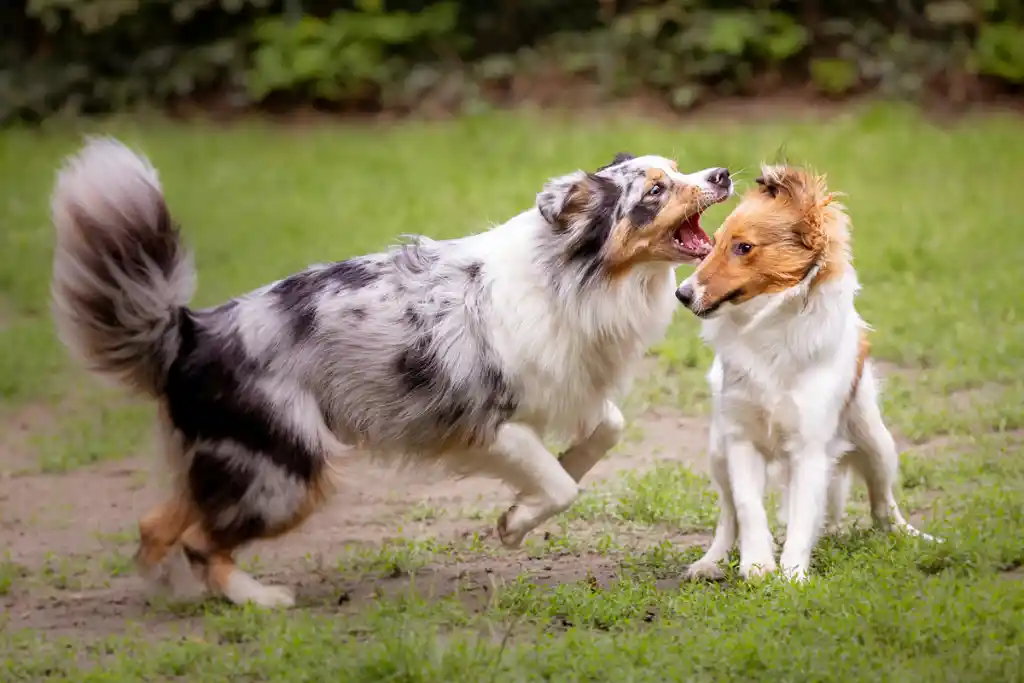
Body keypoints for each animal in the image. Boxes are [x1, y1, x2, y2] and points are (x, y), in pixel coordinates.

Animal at [49, 137, 737, 602]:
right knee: (200, 538)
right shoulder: (486, 422)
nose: (724, 172)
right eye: (655, 189)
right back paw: (257, 599)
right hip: (289, 467)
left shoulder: (570, 388)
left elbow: (603, 435)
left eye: (680, 170)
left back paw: (175, 592)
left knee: (158, 523)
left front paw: (529, 501)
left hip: (242, 459)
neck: (572, 277)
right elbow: (561, 486)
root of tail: (192, 330)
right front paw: (516, 521)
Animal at [675, 162, 933, 581]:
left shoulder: (811, 447)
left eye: (743, 247)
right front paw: (758, 566)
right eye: (712, 242)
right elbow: (748, 509)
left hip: (876, 443)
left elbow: (802, 516)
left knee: (883, 507)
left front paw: (793, 576)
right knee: (728, 516)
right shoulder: (740, 440)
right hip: (718, 453)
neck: (771, 326)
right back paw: (710, 561)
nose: (681, 294)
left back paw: (913, 537)